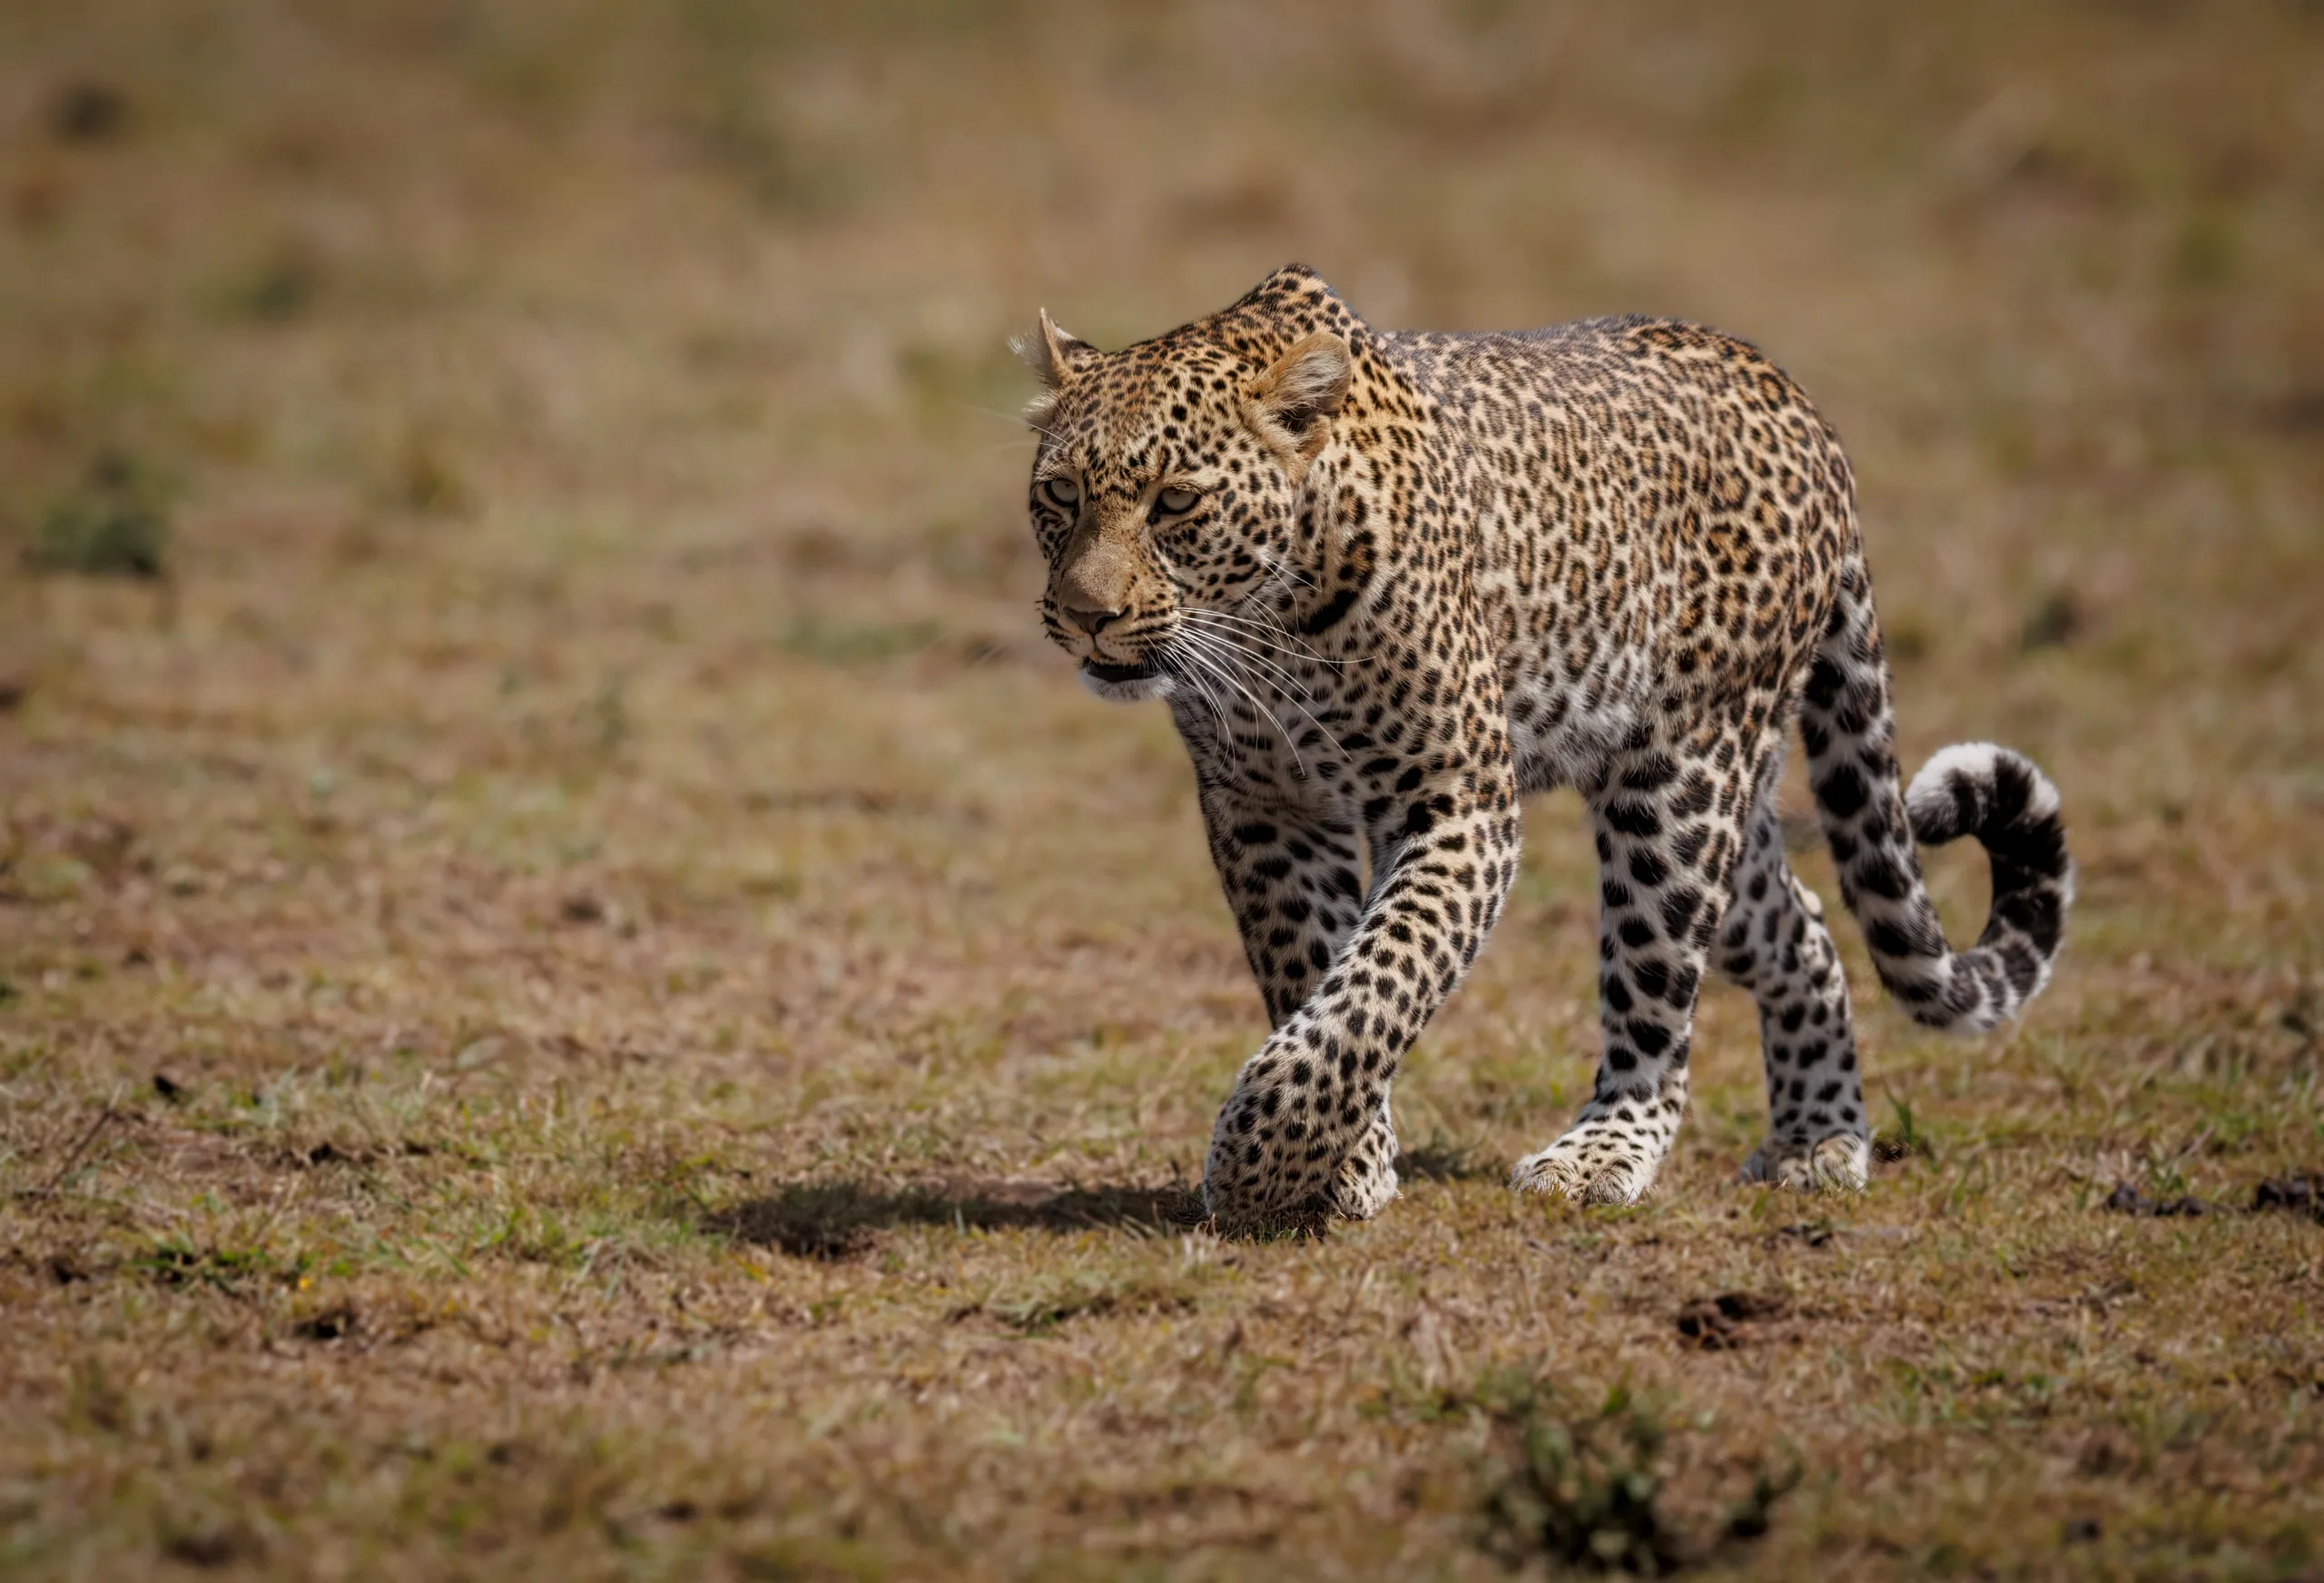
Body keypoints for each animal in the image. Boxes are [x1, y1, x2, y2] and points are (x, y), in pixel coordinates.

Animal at [1016, 263, 2072, 1229]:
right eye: (1059, 494)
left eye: (1175, 504)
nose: (1085, 616)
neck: (1271, 623)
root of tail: (1792, 393)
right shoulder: (1264, 807)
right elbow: (1311, 972)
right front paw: (1344, 1163)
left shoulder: (1458, 802)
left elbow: (1379, 983)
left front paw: (1257, 1162)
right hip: (1722, 816)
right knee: (1803, 924)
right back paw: (1821, 1137)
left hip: (1678, 788)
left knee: (1656, 1011)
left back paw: (1599, 1155)